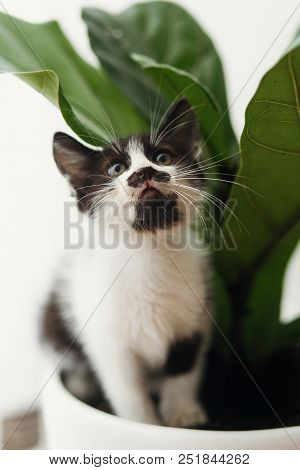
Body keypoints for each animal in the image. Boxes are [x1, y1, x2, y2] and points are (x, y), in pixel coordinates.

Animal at [42, 100, 212, 430]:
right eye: (117, 168)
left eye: (162, 157)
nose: (145, 171)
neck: (148, 251)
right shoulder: (108, 339)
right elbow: (127, 389)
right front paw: (146, 424)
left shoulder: (194, 318)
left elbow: (183, 370)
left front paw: (183, 415)